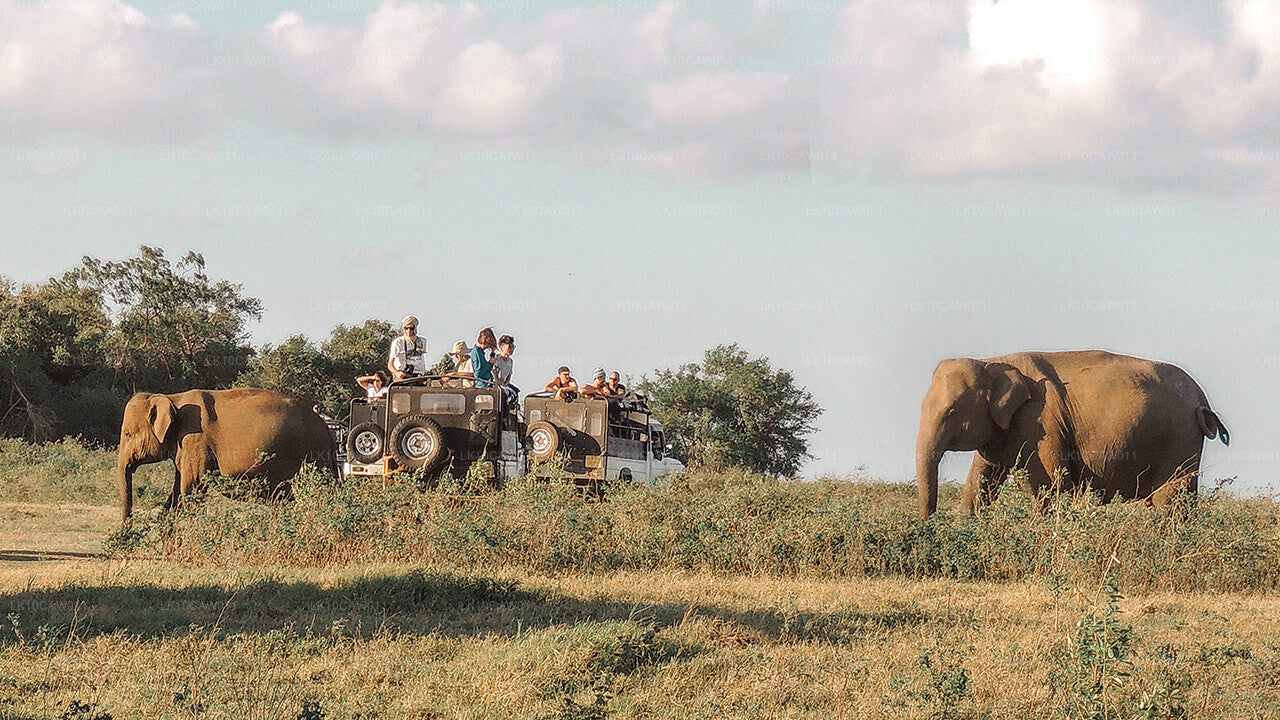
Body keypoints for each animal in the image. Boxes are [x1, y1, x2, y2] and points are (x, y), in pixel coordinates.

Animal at [115, 386, 337, 520]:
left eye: (127, 434)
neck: (172, 397)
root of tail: (326, 427)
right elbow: (177, 493)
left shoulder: (196, 441)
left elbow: (192, 489)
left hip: (312, 453)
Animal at [911, 348, 1228, 512]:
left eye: (952, 411)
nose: (930, 523)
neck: (992, 362)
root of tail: (1202, 401)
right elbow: (981, 481)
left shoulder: (1040, 423)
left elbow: (1049, 484)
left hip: (1180, 440)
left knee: (1169, 502)